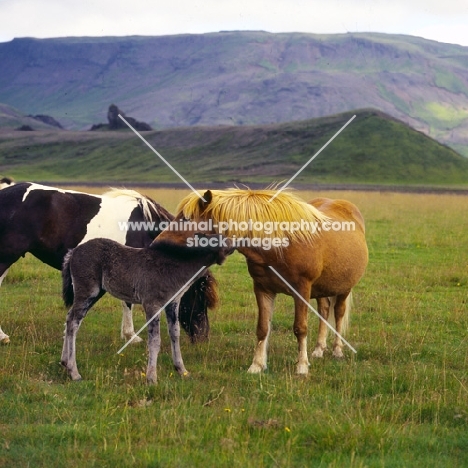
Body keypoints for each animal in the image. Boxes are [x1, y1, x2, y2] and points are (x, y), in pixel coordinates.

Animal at [0, 182, 218, 344]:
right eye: (200, 297)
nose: (203, 337)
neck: (145, 227)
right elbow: (128, 302)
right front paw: (131, 336)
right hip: (6, 256)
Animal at [61, 234, 234, 384]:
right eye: (218, 239)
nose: (234, 243)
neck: (173, 266)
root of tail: (73, 252)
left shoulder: (172, 304)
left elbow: (175, 334)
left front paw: (182, 370)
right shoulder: (152, 305)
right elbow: (155, 340)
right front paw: (152, 378)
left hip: (96, 293)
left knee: (69, 318)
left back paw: (64, 362)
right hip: (88, 291)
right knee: (73, 323)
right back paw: (74, 372)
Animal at [174, 188, 368, 374]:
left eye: (186, 219)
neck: (280, 244)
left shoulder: (302, 290)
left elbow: (300, 328)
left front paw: (302, 366)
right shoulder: (263, 289)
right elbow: (262, 328)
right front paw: (257, 365)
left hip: (344, 287)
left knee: (339, 313)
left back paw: (337, 350)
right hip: (321, 288)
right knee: (324, 310)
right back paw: (319, 349)